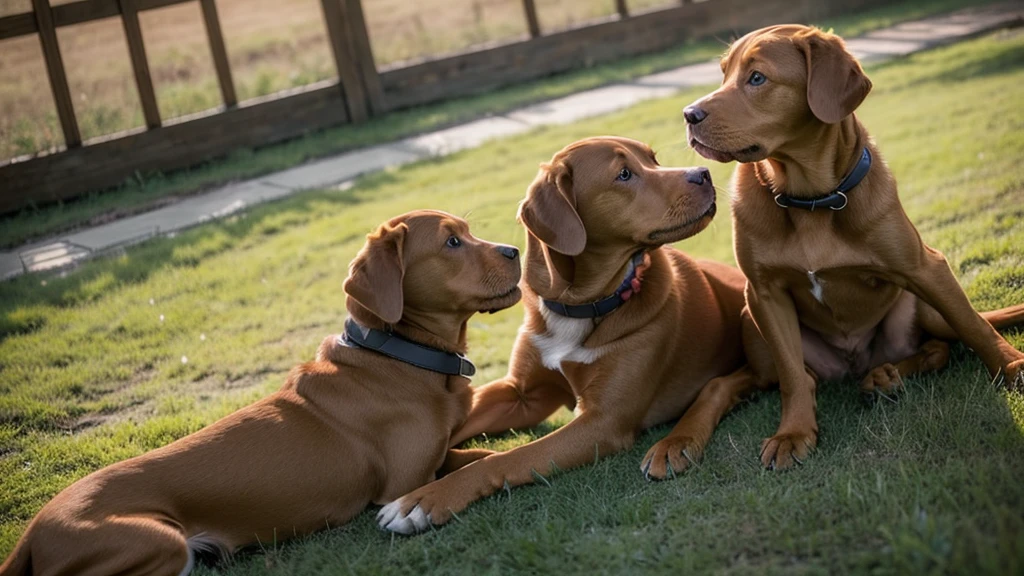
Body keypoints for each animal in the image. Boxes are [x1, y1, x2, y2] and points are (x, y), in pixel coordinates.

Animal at [2, 211, 520, 573]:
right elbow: (458, 467)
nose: (516, 249)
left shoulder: (435, 457)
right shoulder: (403, 482)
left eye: (468, 231)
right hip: (161, 542)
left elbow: (475, 456)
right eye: (452, 241)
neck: (397, 355)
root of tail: (30, 536)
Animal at [376, 136, 770, 532]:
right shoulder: (521, 394)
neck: (579, 304)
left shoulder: (602, 422)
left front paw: (425, 500)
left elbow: (507, 458)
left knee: (720, 387)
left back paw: (674, 445)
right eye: (624, 174)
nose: (703, 173)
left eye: (652, 160)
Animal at [679, 24, 1024, 469]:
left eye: (757, 78)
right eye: (723, 74)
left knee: (941, 345)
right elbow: (792, 375)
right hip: (749, 321)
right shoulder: (764, 294)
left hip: (928, 308)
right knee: (774, 378)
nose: (689, 115)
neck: (810, 198)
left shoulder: (926, 267)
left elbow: (975, 327)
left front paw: (1013, 368)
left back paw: (886, 375)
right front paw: (794, 433)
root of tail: (856, 362)